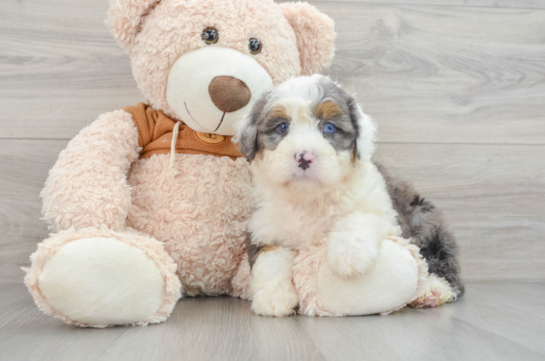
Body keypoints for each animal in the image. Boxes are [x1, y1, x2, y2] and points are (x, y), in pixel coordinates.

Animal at [235, 74, 464, 316]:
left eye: (329, 127)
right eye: (282, 127)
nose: (304, 157)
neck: (310, 197)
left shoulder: (385, 213)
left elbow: (358, 217)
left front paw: (350, 254)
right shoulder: (264, 227)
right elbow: (269, 258)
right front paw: (273, 299)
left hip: (424, 222)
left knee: (443, 265)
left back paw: (434, 289)